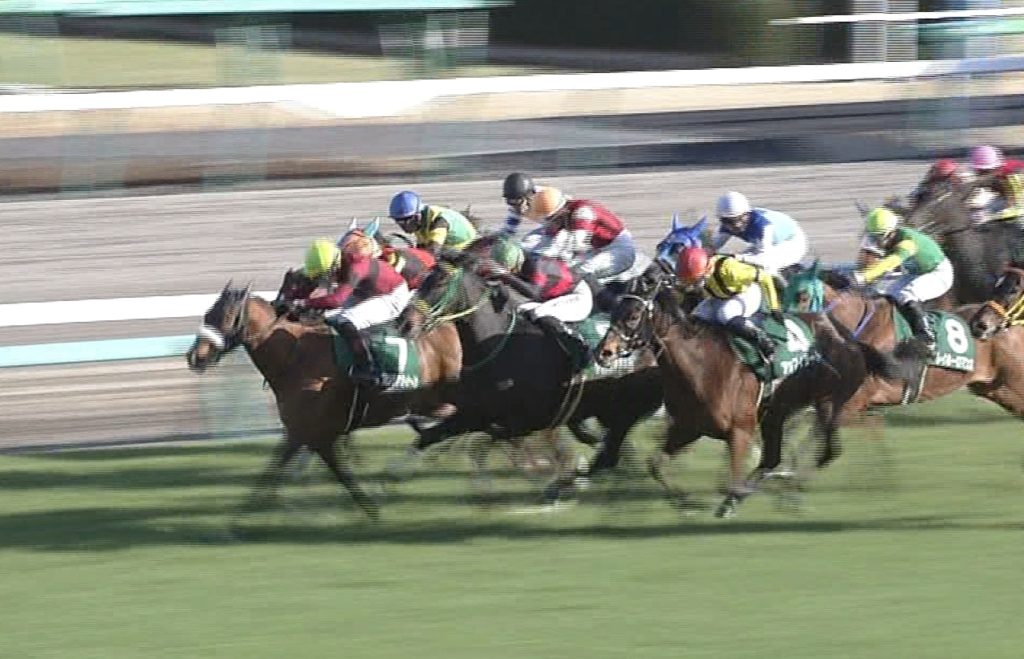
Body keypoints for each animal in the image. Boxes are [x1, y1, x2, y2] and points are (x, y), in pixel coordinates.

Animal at [184, 282, 460, 519]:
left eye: (225, 316)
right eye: (208, 313)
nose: (194, 357)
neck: (294, 356)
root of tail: (448, 325)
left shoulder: (308, 432)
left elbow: (280, 471)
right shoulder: (308, 434)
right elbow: (304, 470)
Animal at [593, 270, 897, 517]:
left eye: (633, 315)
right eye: (613, 312)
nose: (603, 352)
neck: (701, 366)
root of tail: (849, 338)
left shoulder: (739, 430)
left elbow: (734, 478)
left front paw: (728, 499)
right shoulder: (687, 428)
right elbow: (655, 464)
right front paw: (688, 504)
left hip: (829, 403)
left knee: (828, 452)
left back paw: (790, 490)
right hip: (776, 413)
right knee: (774, 458)